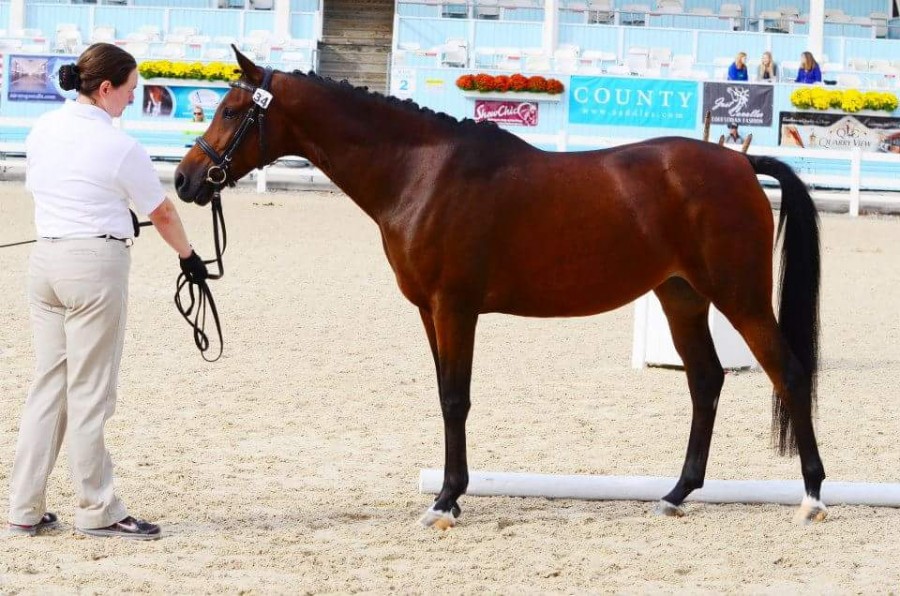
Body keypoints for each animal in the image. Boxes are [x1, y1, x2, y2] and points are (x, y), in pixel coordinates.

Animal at [174, 48, 826, 527]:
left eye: (232, 111)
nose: (184, 179)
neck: (421, 171)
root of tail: (739, 163)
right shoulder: (428, 311)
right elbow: (444, 395)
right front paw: (448, 494)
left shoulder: (455, 308)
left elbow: (455, 399)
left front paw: (445, 502)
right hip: (682, 297)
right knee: (705, 382)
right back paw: (675, 494)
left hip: (738, 297)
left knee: (788, 374)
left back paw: (813, 497)